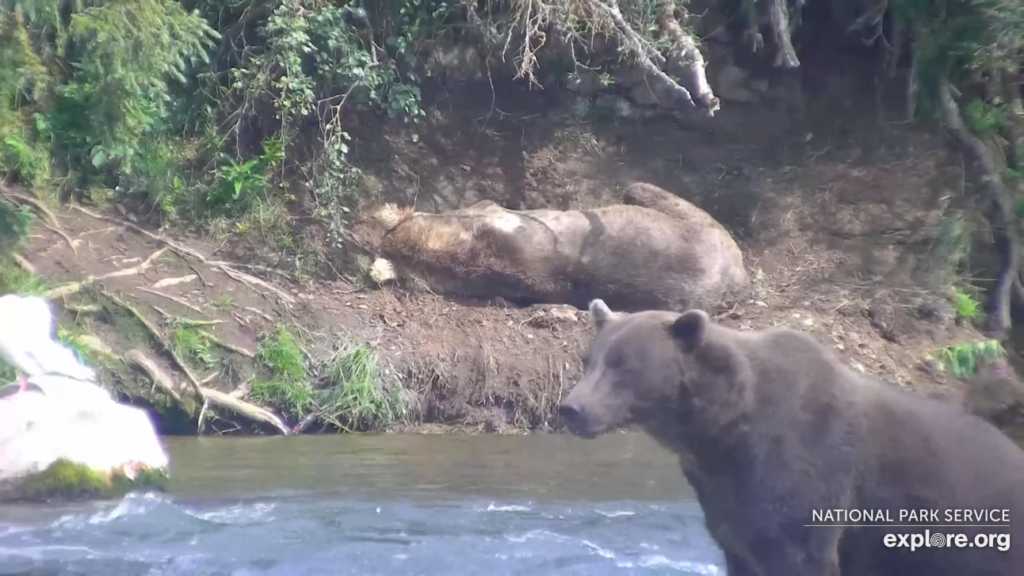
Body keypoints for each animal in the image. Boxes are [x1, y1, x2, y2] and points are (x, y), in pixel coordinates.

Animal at [561, 301, 1024, 573]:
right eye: (591, 358)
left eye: (624, 363)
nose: (571, 409)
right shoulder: (726, 499)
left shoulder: (808, 465)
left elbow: (797, 546)